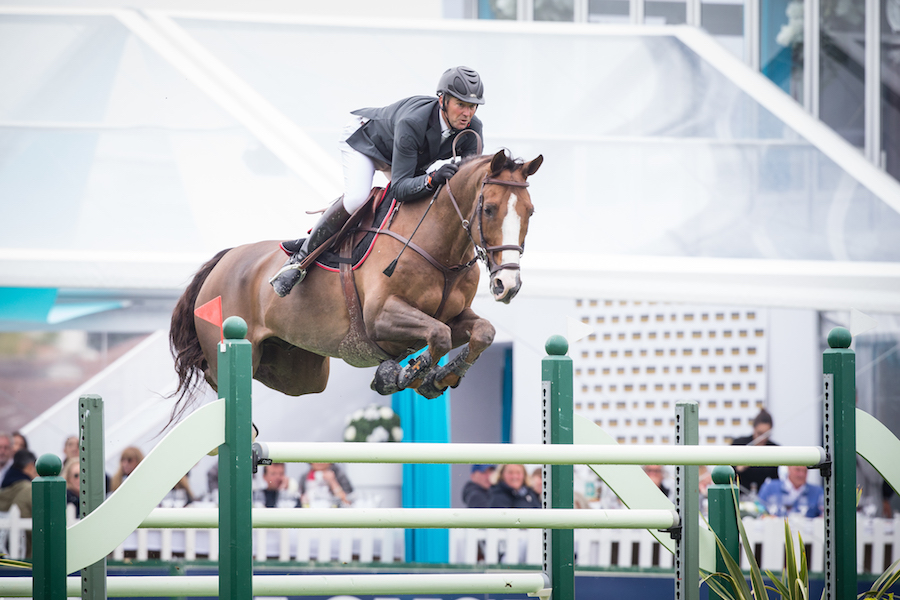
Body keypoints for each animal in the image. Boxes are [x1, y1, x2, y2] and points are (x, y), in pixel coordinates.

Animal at [171, 149, 540, 418]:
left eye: (530, 212)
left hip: (298, 372)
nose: (507, 284)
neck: (441, 250)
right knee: (219, 374)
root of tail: (224, 260)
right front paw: (401, 376)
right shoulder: (380, 317)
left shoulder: (454, 316)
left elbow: (482, 332)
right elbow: (438, 335)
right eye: (489, 209)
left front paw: (438, 377)